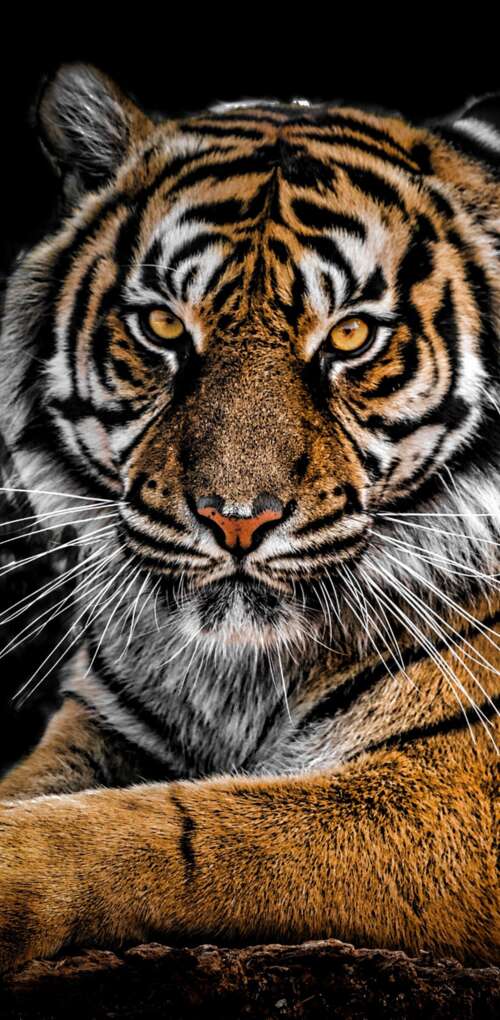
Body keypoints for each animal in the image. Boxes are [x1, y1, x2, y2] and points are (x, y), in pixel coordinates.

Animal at [0, 63, 498, 972]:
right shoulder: (101, 726)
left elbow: (182, 831)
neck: (238, 676)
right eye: (163, 325)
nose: (236, 519)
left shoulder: (454, 784)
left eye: (352, 336)